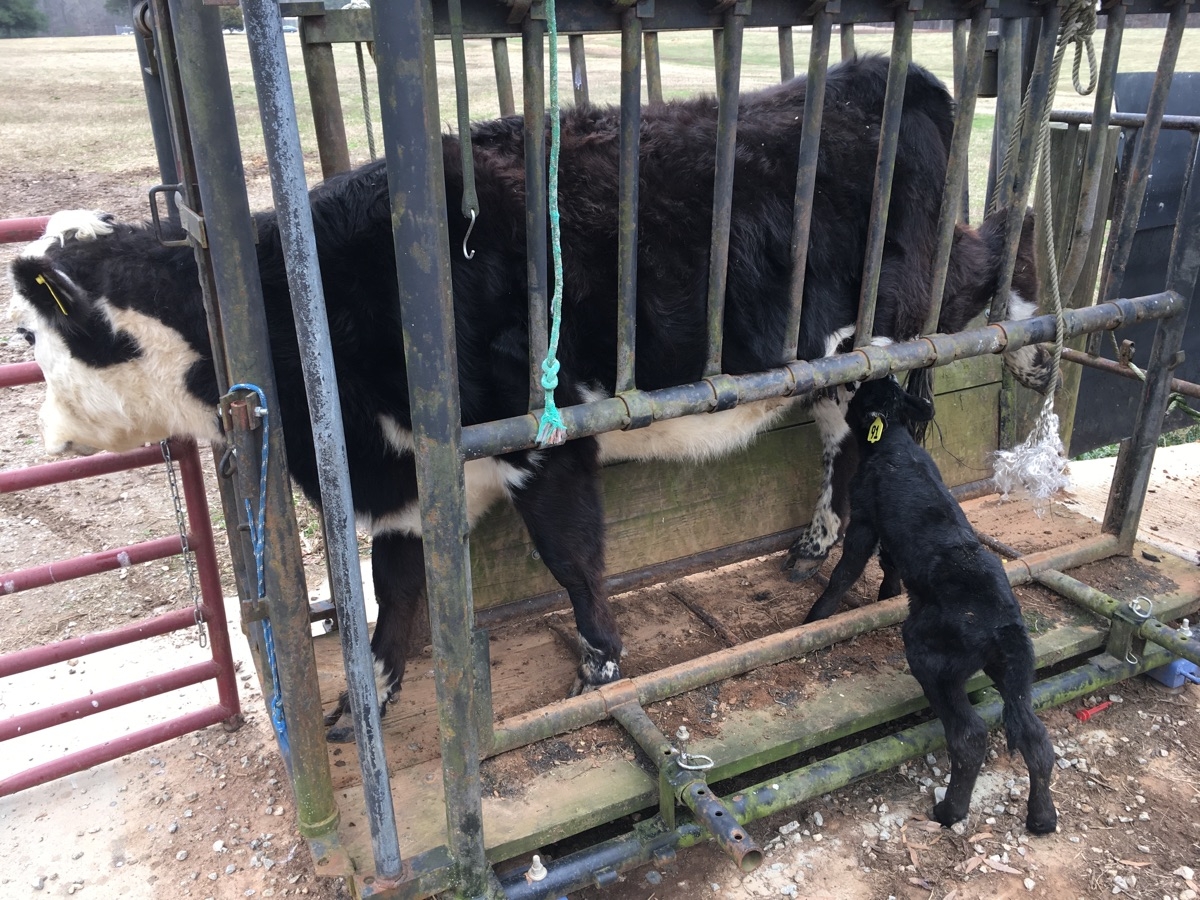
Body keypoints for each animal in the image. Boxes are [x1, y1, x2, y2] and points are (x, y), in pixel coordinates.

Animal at [7, 56, 1051, 739]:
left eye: (25, 337)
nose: (43, 437)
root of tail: (885, 72)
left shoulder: (540, 443)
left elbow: (572, 560)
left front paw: (601, 659)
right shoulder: (395, 479)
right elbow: (395, 588)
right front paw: (365, 697)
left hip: (884, 332)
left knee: (935, 338)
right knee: (843, 443)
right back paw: (814, 545)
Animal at [811, 376, 1056, 835]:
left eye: (860, 392)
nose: (847, 384)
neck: (894, 443)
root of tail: (1002, 626)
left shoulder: (865, 516)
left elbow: (846, 570)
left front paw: (815, 617)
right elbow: (889, 563)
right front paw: (887, 594)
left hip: (933, 659)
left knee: (970, 735)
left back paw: (950, 811)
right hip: (1014, 672)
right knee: (1035, 737)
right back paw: (1042, 817)